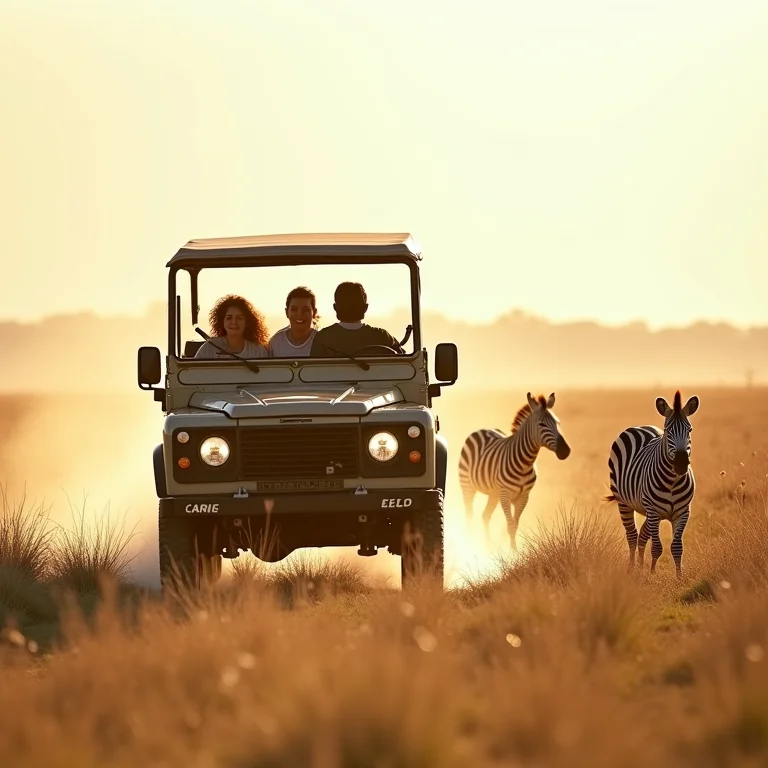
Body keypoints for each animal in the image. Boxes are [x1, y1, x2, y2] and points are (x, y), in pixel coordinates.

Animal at [459, 392, 571, 551]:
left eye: (558, 423)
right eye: (541, 424)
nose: (565, 451)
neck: (525, 463)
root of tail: (482, 429)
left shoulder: (523, 496)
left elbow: (515, 525)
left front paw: (514, 551)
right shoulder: (505, 495)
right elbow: (511, 524)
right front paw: (513, 552)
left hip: (494, 494)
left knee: (485, 515)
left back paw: (488, 547)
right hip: (467, 486)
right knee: (469, 516)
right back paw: (471, 544)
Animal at [605, 390, 700, 578]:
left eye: (690, 430)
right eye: (668, 431)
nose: (681, 464)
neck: (673, 481)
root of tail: (640, 427)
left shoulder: (683, 512)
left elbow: (677, 547)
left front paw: (679, 577)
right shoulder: (654, 511)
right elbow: (657, 548)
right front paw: (652, 575)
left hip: (648, 510)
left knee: (642, 536)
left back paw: (641, 566)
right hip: (625, 503)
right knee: (632, 536)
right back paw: (632, 568)